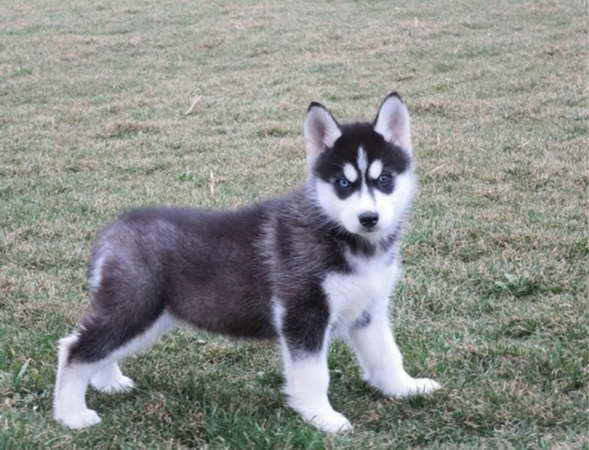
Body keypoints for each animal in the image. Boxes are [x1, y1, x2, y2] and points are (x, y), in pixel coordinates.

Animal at [55, 91, 438, 432]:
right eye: (344, 183)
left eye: (384, 179)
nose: (368, 218)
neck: (344, 236)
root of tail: (113, 228)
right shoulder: (303, 312)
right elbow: (314, 375)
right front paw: (322, 417)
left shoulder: (368, 310)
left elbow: (386, 355)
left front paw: (404, 387)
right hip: (136, 304)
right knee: (74, 349)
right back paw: (72, 415)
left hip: (149, 315)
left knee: (100, 350)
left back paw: (108, 382)